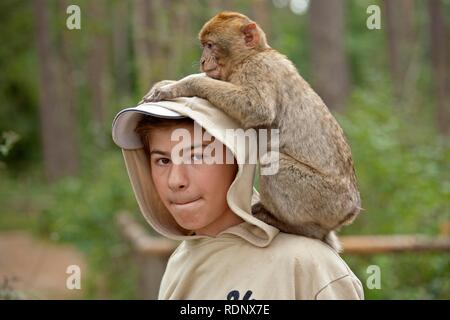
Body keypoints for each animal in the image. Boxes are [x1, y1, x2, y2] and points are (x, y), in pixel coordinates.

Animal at [142, 11, 364, 251]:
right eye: (204, 46)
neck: (252, 54)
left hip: (326, 201)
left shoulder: (257, 68)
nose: (202, 60)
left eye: (210, 45)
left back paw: (296, 226)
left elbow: (257, 107)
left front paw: (182, 85)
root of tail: (350, 211)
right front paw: (166, 84)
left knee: (272, 160)